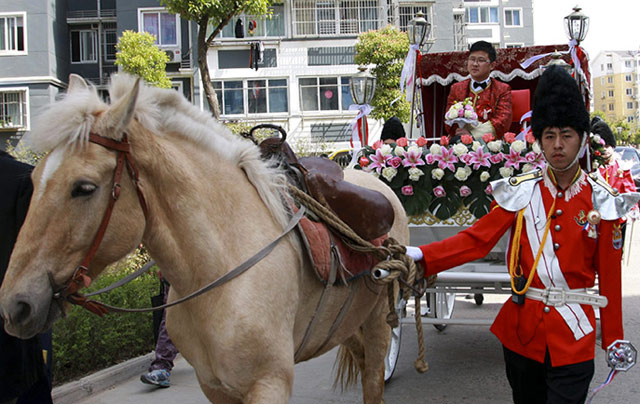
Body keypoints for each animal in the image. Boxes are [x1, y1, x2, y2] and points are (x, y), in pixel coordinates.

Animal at [0, 74, 410, 402]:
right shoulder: (214, 386)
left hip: (378, 324)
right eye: (34, 181)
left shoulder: (270, 383)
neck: (219, 267)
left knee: (374, 379)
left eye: (83, 188)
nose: (15, 305)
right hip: (348, 326)